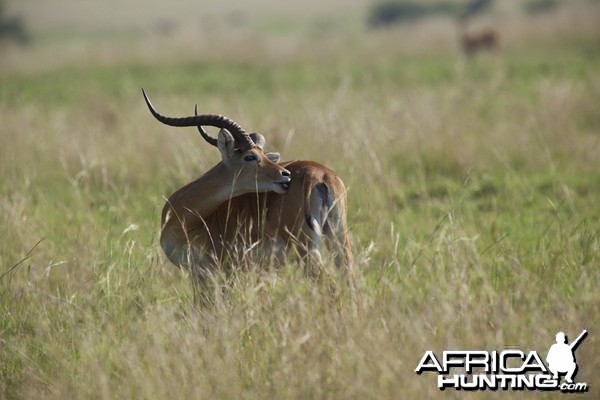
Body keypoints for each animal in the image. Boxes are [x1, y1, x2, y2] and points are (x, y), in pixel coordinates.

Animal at [143, 91, 354, 284]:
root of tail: (320, 176)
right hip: (339, 239)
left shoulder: (210, 274)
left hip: (306, 249)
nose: (285, 175)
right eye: (250, 156)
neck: (186, 220)